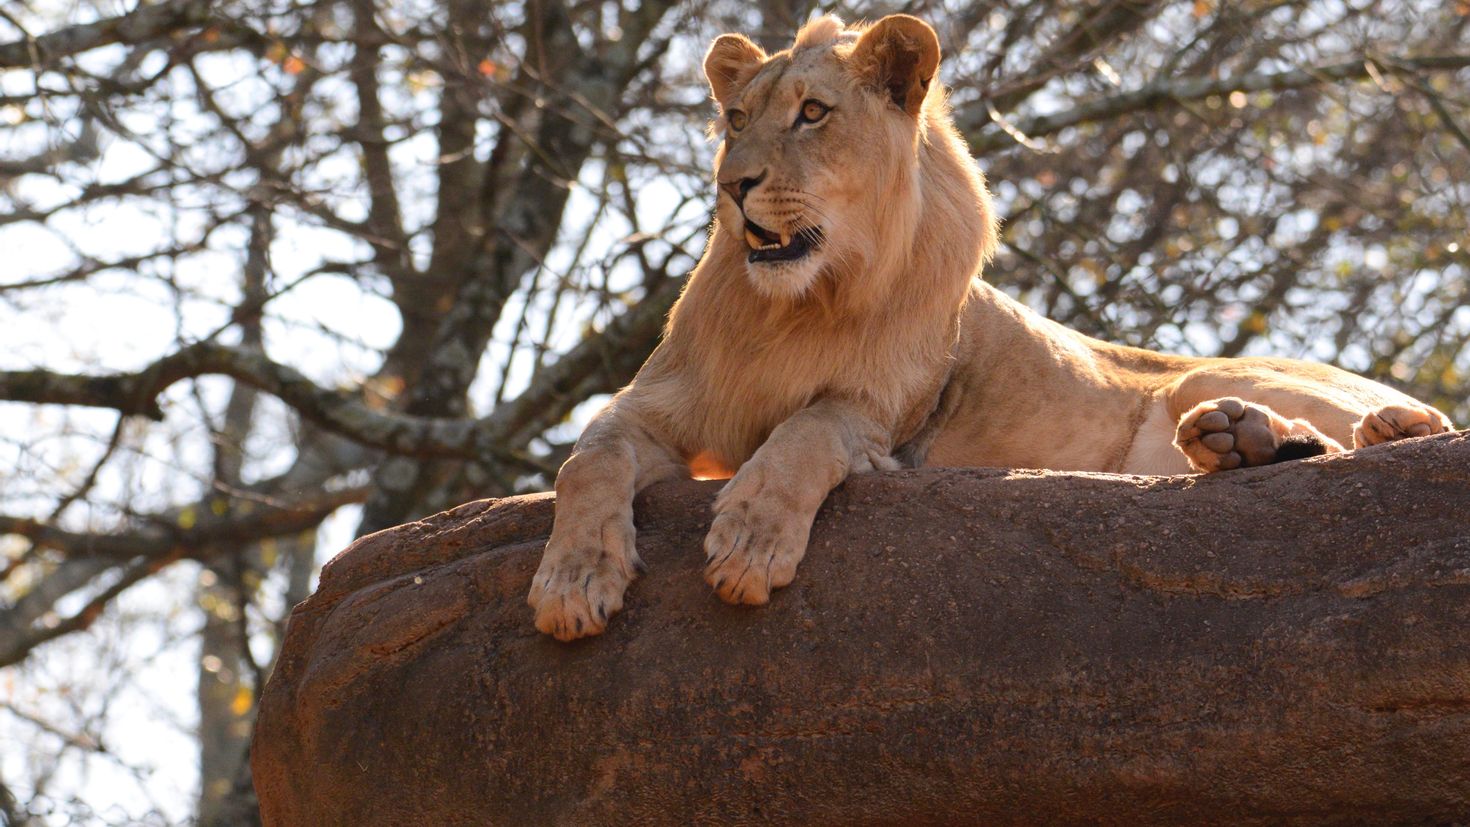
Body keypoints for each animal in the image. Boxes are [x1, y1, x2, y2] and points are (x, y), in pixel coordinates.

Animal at [526, 16, 1446, 643]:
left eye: (813, 113)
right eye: (736, 119)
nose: (732, 184)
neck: (796, 305)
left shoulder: (883, 418)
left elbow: (805, 431)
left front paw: (751, 541)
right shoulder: (658, 403)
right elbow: (588, 458)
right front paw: (573, 581)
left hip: (1207, 372)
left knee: (1425, 424)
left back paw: (1366, 425)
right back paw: (1241, 444)